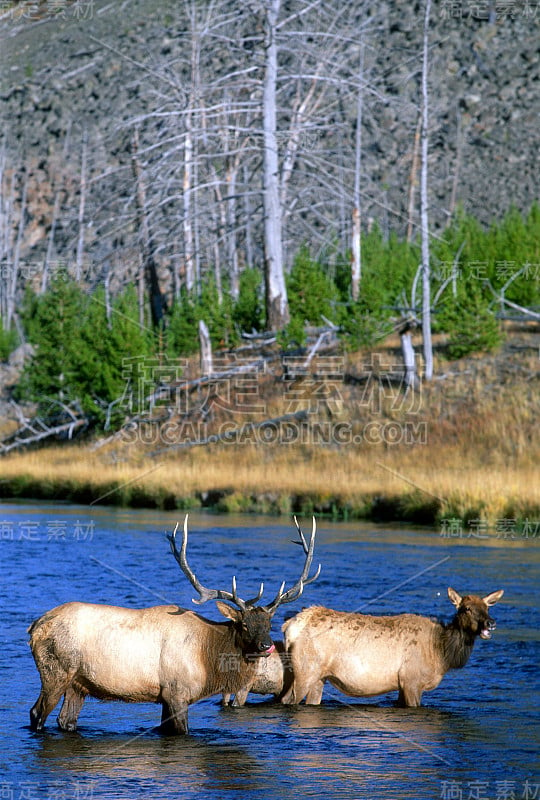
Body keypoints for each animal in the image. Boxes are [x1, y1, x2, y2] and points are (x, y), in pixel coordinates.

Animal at [29, 516, 320, 736]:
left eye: (269, 622)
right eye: (244, 624)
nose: (266, 645)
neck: (209, 659)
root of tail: (35, 626)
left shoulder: (166, 697)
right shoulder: (177, 691)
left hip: (79, 683)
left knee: (66, 720)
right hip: (55, 671)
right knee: (37, 713)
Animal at [280, 588, 504, 708]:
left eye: (487, 607)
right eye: (466, 608)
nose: (491, 622)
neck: (440, 655)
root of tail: (291, 625)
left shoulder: (402, 685)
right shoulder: (412, 680)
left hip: (319, 677)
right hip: (305, 671)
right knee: (287, 699)